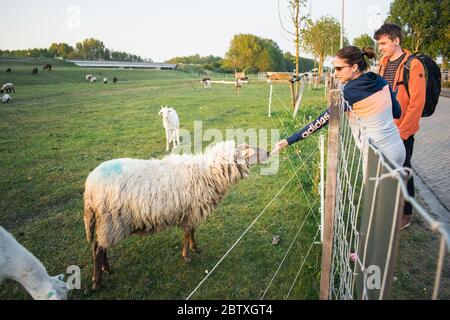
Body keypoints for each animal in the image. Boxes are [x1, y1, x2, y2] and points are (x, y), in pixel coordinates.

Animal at [83, 141, 268, 288]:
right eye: (253, 150)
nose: (267, 152)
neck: (209, 174)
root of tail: (90, 184)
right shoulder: (190, 211)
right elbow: (187, 233)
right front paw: (187, 256)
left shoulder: (192, 211)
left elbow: (191, 231)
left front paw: (195, 248)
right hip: (111, 221)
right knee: (98, 249)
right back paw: (97, 280)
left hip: (104, 222)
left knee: (98, 246)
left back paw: (106, 269)